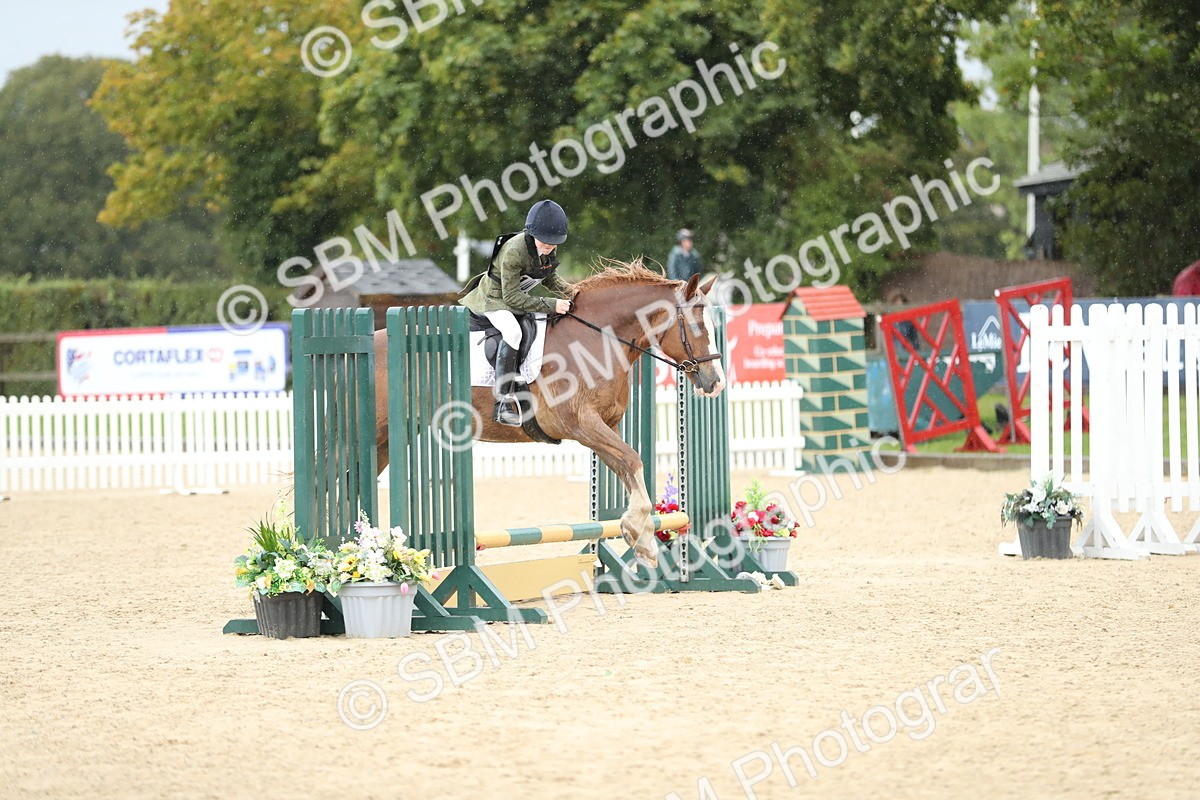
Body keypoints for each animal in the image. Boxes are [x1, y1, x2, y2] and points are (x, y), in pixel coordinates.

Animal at [371, 259, 727, 568]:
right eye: (697, 326)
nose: (716, 382)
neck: (597, 339)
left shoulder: (605, 426)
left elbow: (628, 465)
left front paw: (640, 540)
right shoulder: (581, 424)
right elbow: (633, 460)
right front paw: (641, 537)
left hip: (388, 441)